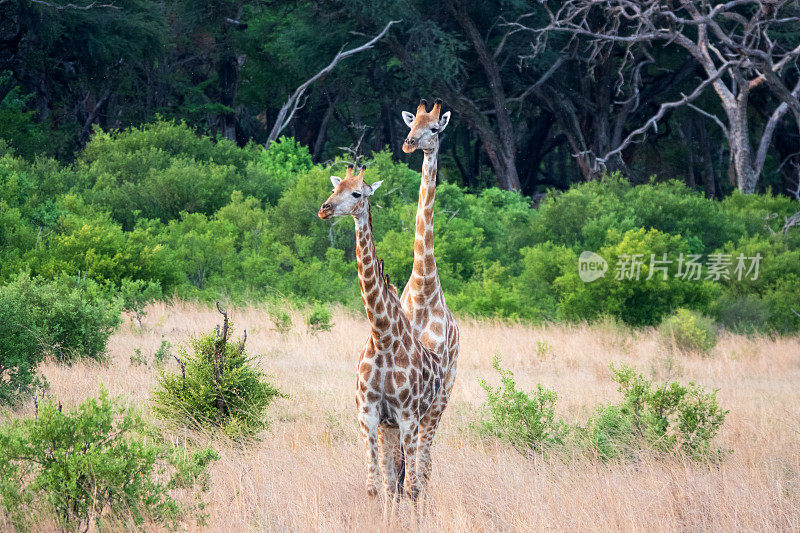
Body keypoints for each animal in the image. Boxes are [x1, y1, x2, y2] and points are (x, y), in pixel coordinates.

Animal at [318, 164, 444, 500]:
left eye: (356, 193)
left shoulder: (408, 416)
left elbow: (410, 487)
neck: (383, 335)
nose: (325, 209)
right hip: (391, 428)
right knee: (393, 479)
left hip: (430, 415)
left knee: (420, 474)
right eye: (335, 188)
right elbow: (376, 487)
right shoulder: (369, 415)